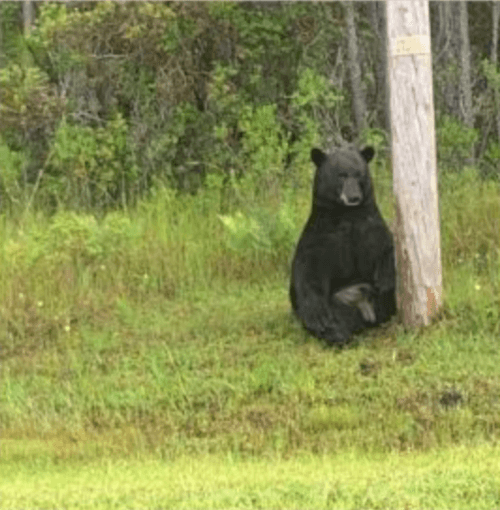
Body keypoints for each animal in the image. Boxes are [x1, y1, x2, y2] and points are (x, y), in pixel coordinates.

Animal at [292, 147, 396, 346]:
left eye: (359, 174)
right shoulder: (321, 238)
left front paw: (385, 279)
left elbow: (386, 248)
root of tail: (366, 312)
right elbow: (307, 273)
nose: (354, 197)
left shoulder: (370, 227)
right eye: (341, 175)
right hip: (338, 303)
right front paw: (317, 316)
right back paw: (338, 335)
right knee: (335, 319)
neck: (347, 215)